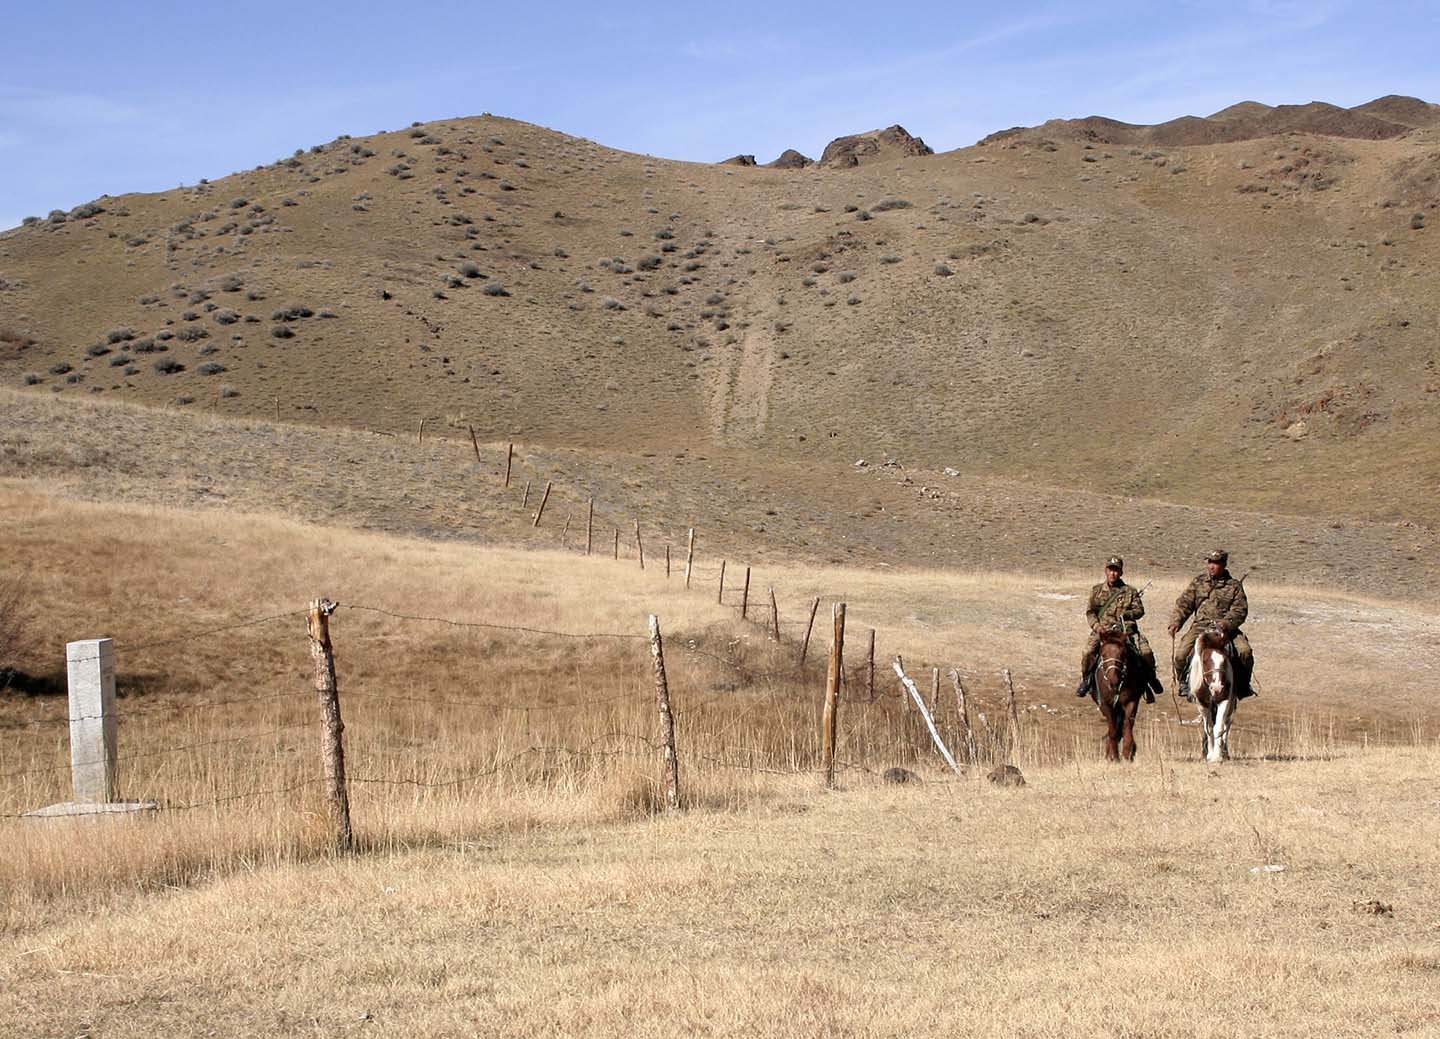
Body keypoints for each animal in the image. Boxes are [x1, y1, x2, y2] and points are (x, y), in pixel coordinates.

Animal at [1088, 624, 1146, 759]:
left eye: (1122, 654)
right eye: (1103, 654)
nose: (1113, 680)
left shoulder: (1131, 701)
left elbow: (1127, 726)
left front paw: (1128, 752)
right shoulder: (1106, 705)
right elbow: (1113, 730)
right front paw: (1114, 756)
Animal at [1192, 624, 1238, 759]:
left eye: (1224, 661)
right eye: (1205, 660)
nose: (1217, 688)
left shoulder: (1225, 700)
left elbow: (1219, 726)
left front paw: (1217, 756)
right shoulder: (1202, 704)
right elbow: (1209, 728)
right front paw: (1210, 754)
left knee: (1227, 725)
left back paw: (1225, 752)